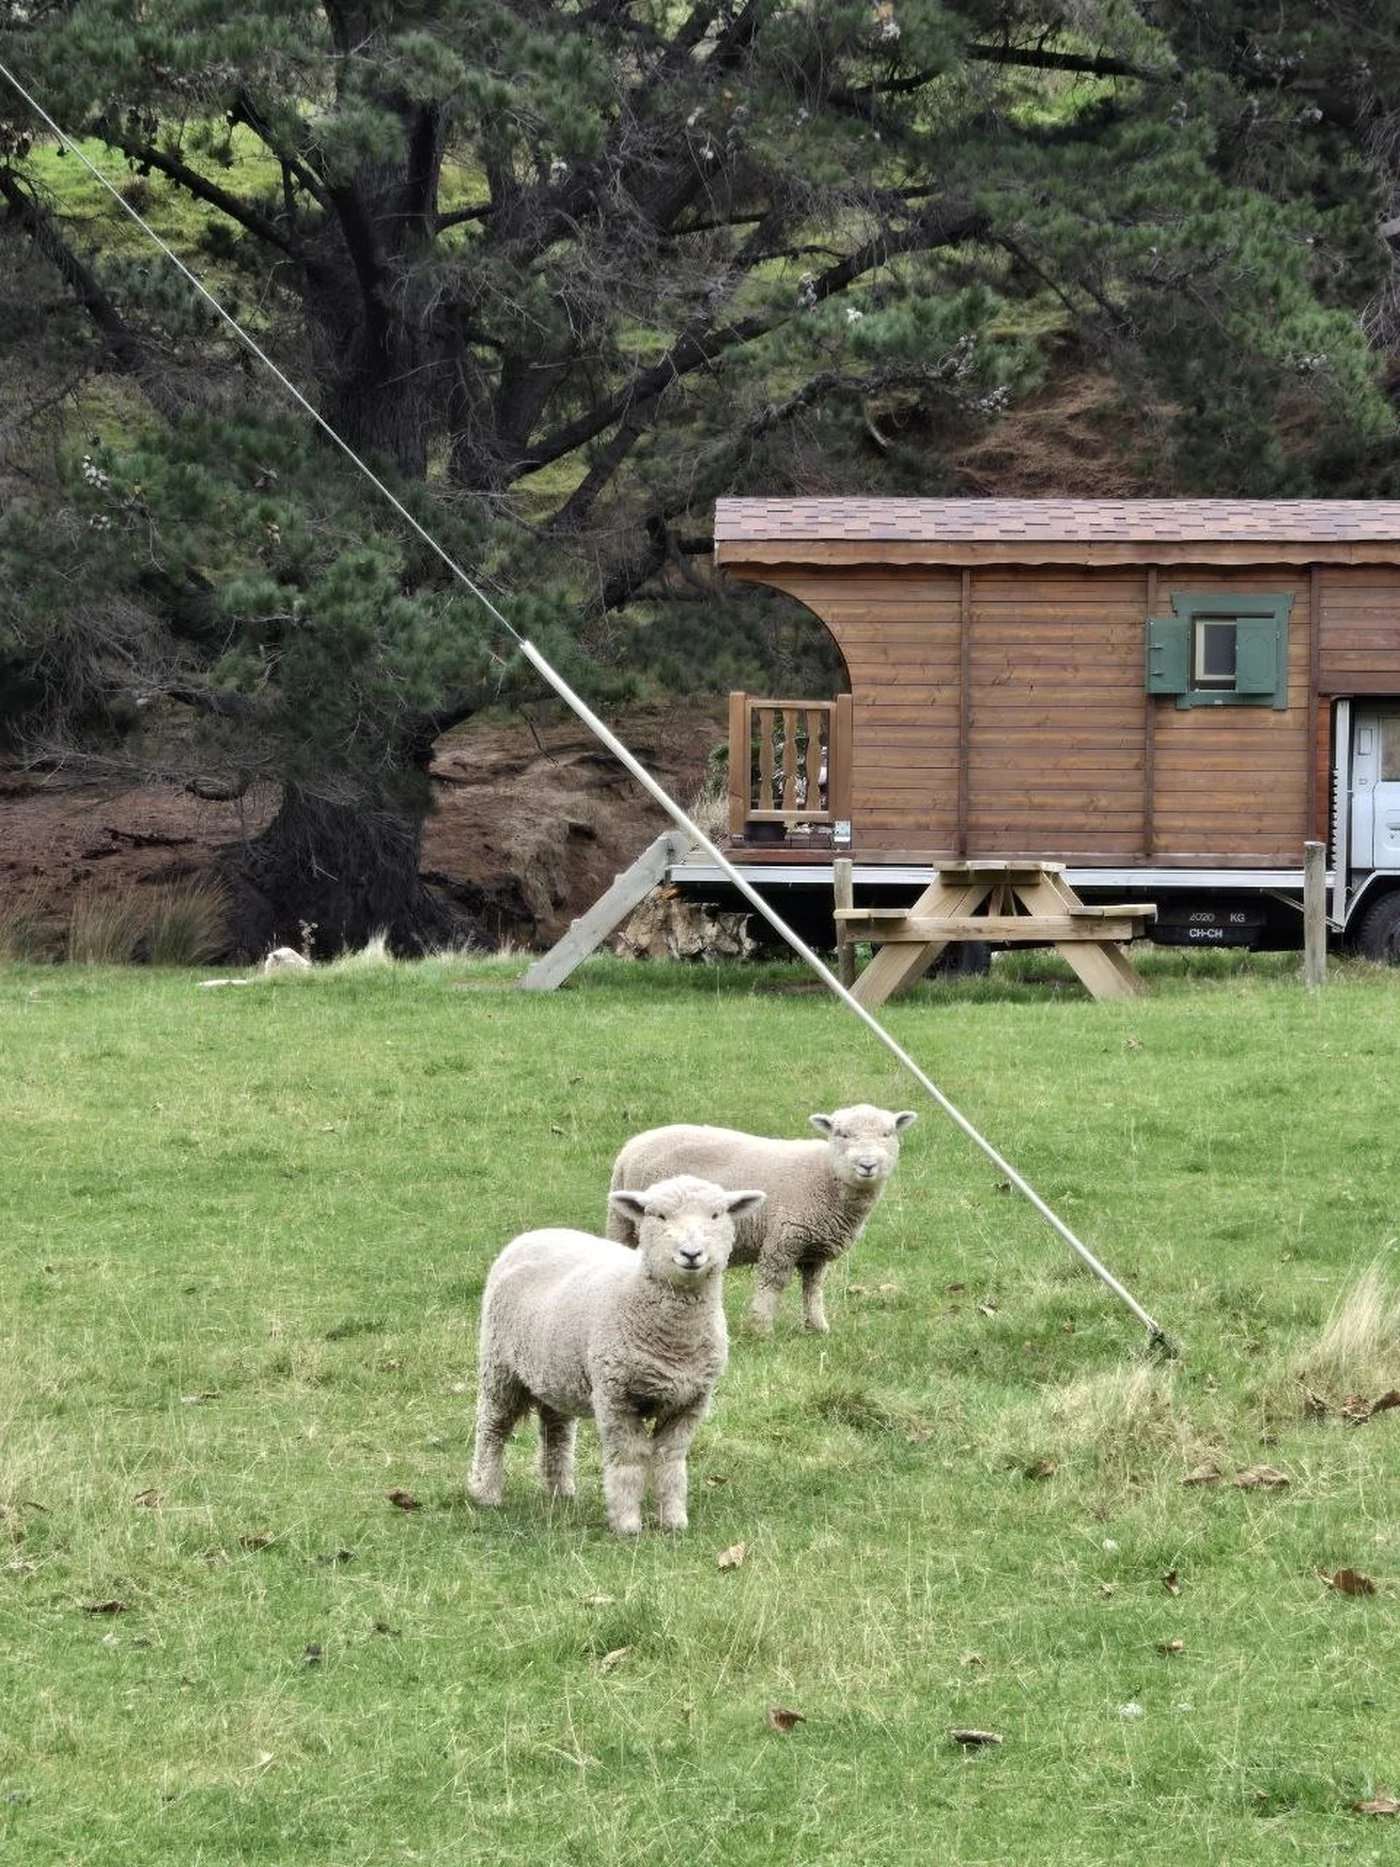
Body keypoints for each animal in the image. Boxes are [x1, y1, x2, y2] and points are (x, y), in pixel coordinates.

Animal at [468, 1175, 765, 1536]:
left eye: (716, 1215)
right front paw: (627, 1523)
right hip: (499, 1364)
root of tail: (534, 1234)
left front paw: (674, 1520)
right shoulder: (617, 1396)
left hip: (555, 1368)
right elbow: (629, 1458)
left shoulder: (691, 1399)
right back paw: (486, 1492)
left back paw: (560, 1490)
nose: (692, 1254)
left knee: (556, 1430)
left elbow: (670, 1457)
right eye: (659, 1216)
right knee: (493, 1426)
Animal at [606, 1105, 918, 1336]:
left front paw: (817, 1327)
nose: (867, 1165)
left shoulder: (816, 1249)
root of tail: (629, 1150)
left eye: (887, 1133)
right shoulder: (784, 1237)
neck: (825, 1176)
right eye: (842, 1134)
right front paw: (761, 1328)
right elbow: (772, 1282)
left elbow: (813, 1288)